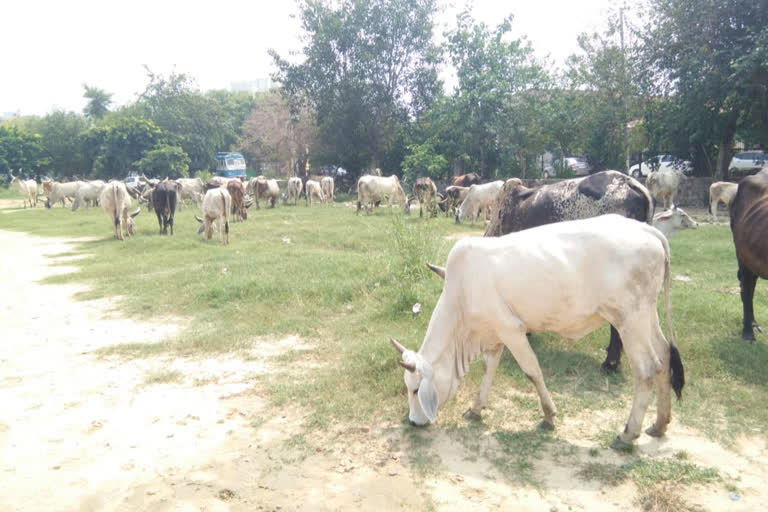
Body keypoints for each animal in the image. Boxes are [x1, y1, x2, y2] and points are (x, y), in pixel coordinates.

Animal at [390, 214, 684, 450]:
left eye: (414, 390)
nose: (413, 422)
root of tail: (648, 230)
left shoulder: (512, 330)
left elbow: (532, 370)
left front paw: (548, 416)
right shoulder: (494, 333)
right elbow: (489, 368)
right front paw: (476, 409)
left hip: (628, 319)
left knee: (647, 369)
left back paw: (627, 434)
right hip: (646, 315)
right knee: (664, 356)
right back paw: (659, 424)